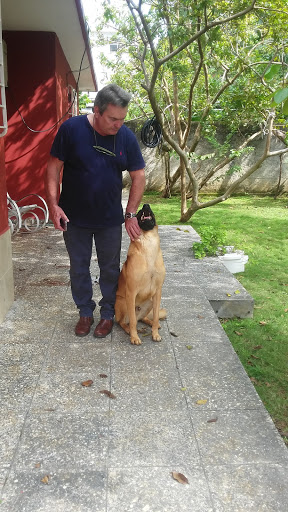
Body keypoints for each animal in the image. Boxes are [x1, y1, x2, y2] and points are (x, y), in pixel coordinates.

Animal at [115, 203, 166, 344]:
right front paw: (134, 337)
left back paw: (152, 323)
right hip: (123, 302)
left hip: (150, 301)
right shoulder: (131, 293)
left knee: (143, 318)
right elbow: (133, 321)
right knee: (123, 321)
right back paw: (128, 330)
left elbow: (155, 317)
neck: (148, 243)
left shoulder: (158, 292)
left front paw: (155, 333)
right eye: (138, 213)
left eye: (151, 210)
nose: (146, 205)